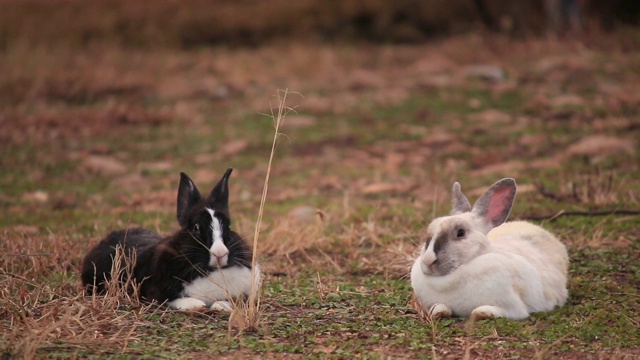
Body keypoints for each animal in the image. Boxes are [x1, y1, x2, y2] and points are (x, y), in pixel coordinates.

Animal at [81, 169, 258, 312]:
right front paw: (196, 305)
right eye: (196, 228)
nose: (220, 253)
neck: (209, 270)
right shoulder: (154, 293)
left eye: (228, 226)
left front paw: (223, 306)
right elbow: (172, 300)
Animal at [412, 178, 568, 320]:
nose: (428, 261)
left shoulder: (514, 308)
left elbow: (501, 311)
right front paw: (438, 312)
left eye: (460, 233)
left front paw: (481, 312)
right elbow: (439, 306)